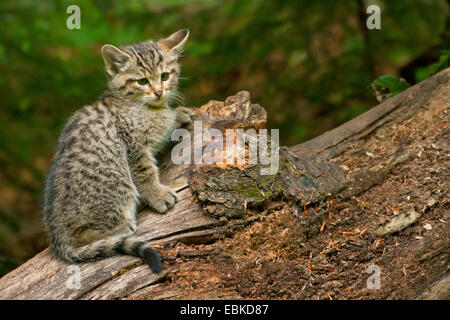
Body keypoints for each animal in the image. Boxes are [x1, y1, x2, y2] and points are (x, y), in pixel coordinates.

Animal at [40, 28, 192, 272]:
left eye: (165, 76)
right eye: (142, 81)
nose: (159, 92)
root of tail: (57, 239)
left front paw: (177, 114)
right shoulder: (133, 145)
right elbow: (145, 172)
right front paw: (158, 195)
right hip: (117, 184)